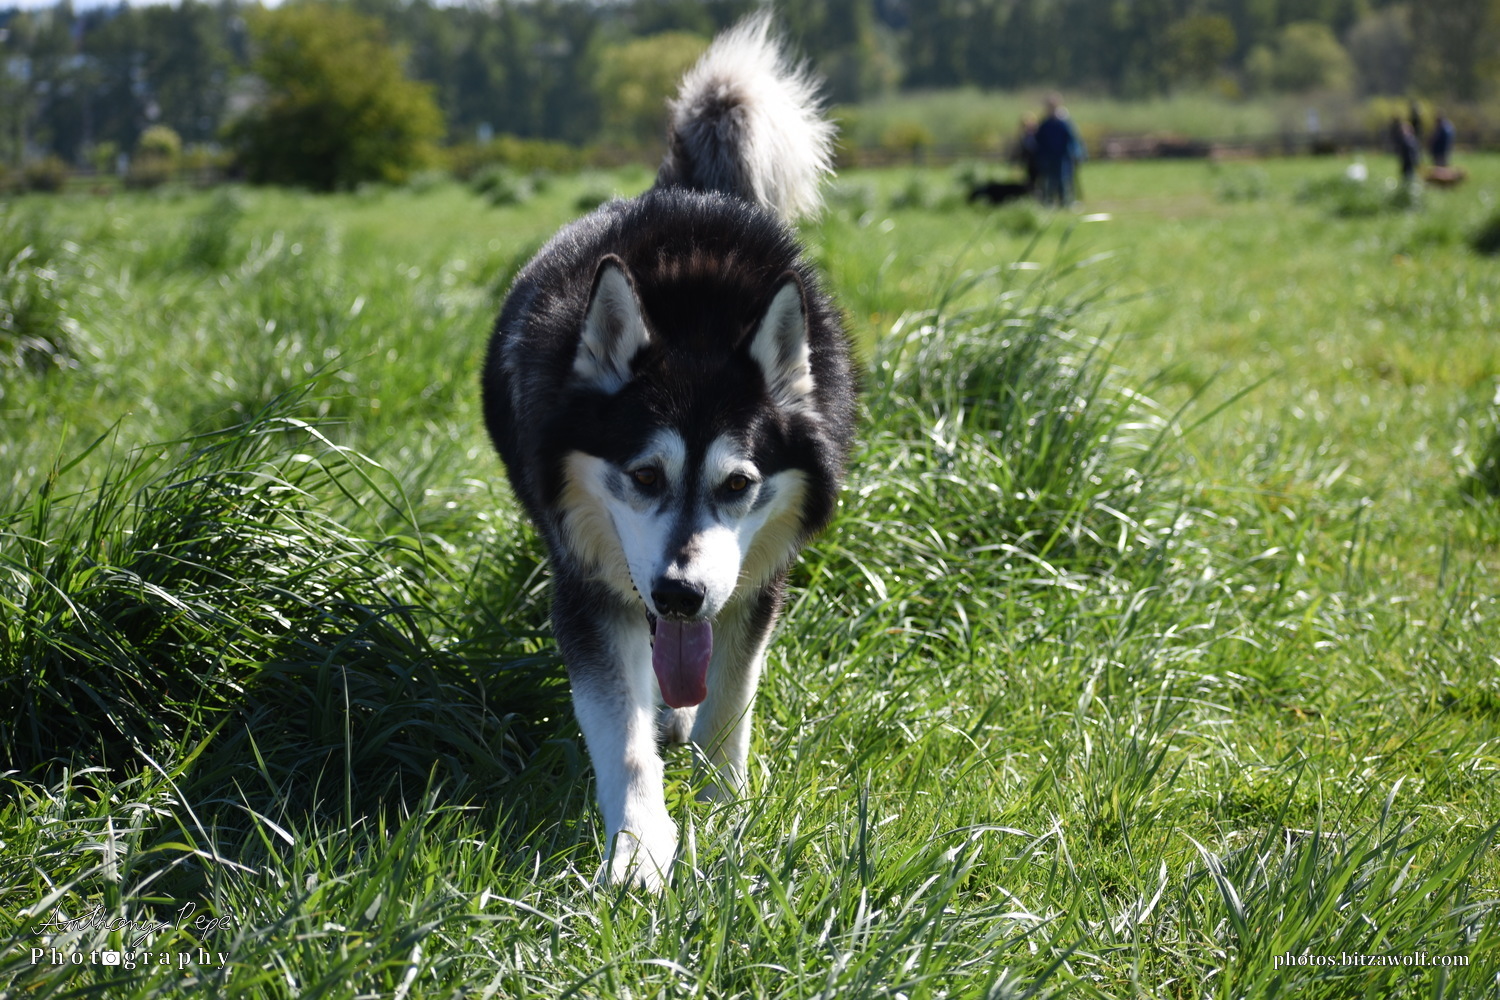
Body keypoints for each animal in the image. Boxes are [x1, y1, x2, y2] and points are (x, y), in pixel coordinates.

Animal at [480, 14, 856, 888]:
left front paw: (726, 816)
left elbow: (729, 702)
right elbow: (621, 734)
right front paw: (639, 847)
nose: (681, 594)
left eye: (740, 483)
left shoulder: (756, 585)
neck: (696, 322)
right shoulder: (589, 585)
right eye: (644, 476)